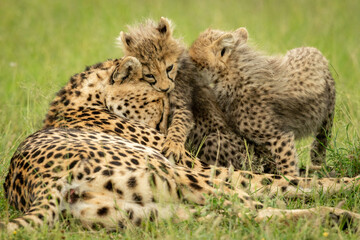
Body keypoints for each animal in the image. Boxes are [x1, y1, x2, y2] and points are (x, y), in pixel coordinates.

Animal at [190, 27, 336, 176]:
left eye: (193, 58)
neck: (231, 78)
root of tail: (313, 50)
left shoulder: (279, 136)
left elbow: (286, 165)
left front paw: (291, 180)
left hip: (327, 117)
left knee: (321, 140)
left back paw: (318, 163)